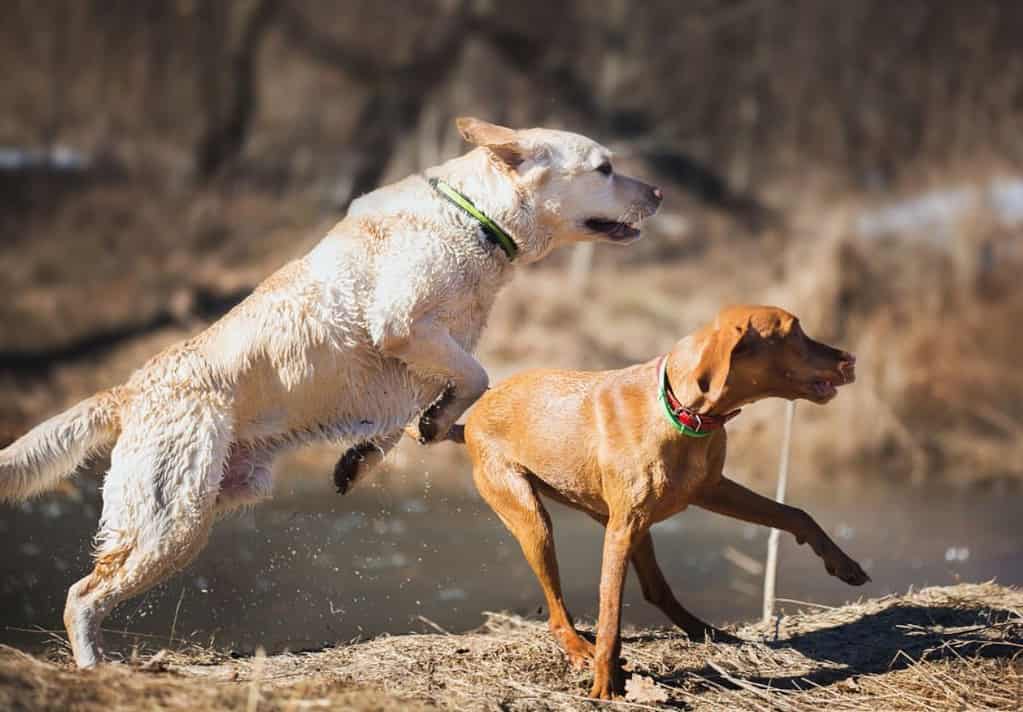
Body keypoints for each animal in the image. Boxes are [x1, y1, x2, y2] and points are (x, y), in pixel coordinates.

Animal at [464, 302, 871, 699]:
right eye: (793, 332)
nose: (851, 358)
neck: (683, 412)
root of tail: (479, 405)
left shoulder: (711, 489)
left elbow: (795, 514)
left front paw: (843, 563)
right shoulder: (621, 531)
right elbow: (609, 616)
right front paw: (604, 684)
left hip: (623, 522)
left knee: (655, 589)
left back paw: (707, 631)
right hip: (534, 520)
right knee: (557, 610)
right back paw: (581, 649)